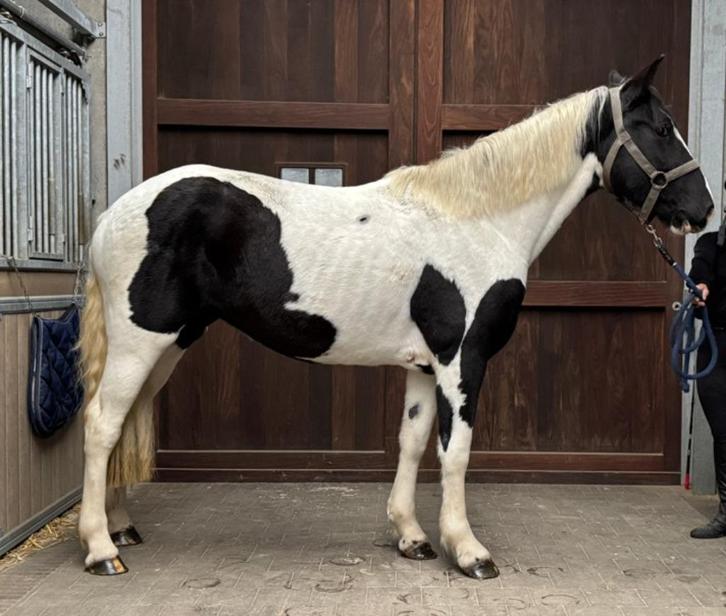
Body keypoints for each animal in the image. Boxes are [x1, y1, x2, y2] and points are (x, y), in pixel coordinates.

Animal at [77, 56, 714, 578]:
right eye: (662, 129)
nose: (703, 210)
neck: (478, 222)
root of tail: (112, 216)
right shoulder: (463, 360)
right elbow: (454, 452)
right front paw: (469, 552)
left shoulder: (425, 366)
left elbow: (411, 442)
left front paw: (412, 538)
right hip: (140, 343)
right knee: (103, 424)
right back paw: (100, 549)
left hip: (169, 344)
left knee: (125, 421)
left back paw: (121, 528)